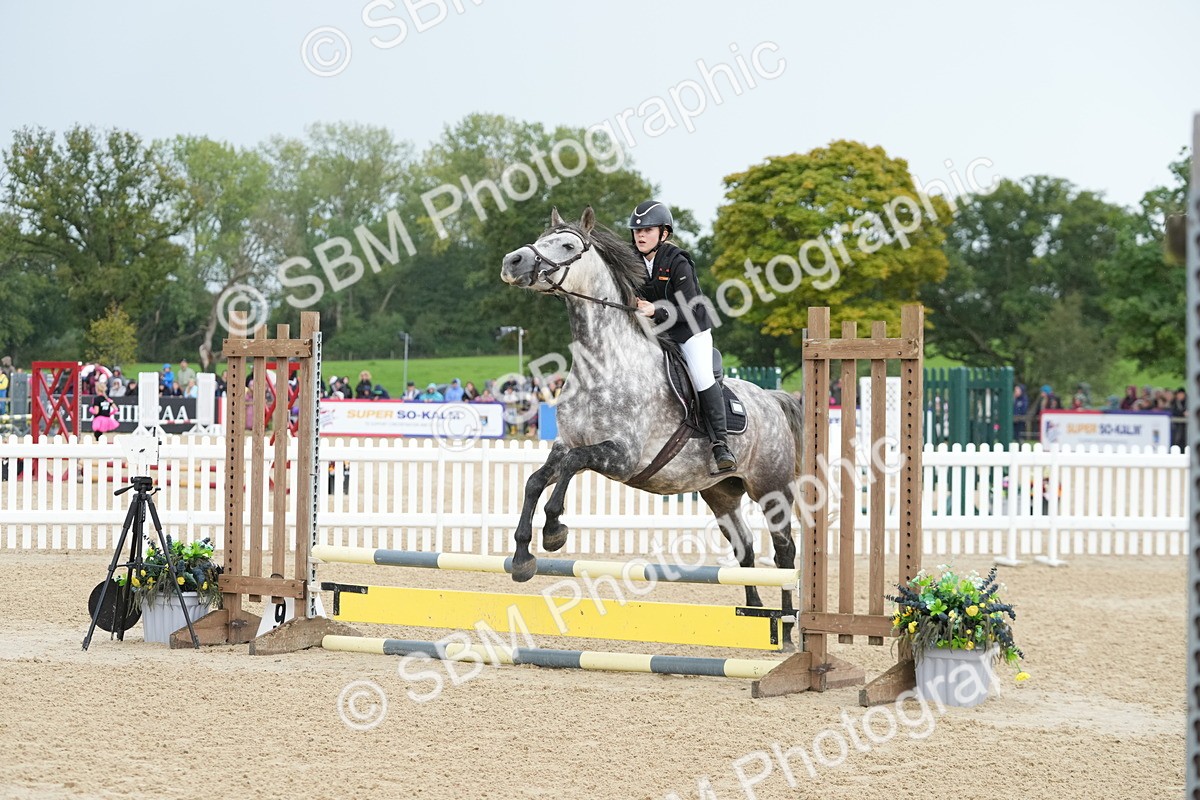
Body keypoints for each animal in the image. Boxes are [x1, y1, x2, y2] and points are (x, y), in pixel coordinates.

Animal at [499, 207, 805, 622]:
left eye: (566, 246)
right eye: (539, 238)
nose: (512, 263)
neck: (602, 363)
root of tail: (772, 398)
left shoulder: (622, 457)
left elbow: (572, 467)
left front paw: (554, 530)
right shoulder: (566, 443)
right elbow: (536, 480)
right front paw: (521, 558)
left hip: (772, 488)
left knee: (785, 550)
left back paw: (787, 625)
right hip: (721, 494)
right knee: (745, 548)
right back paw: (755, 614)